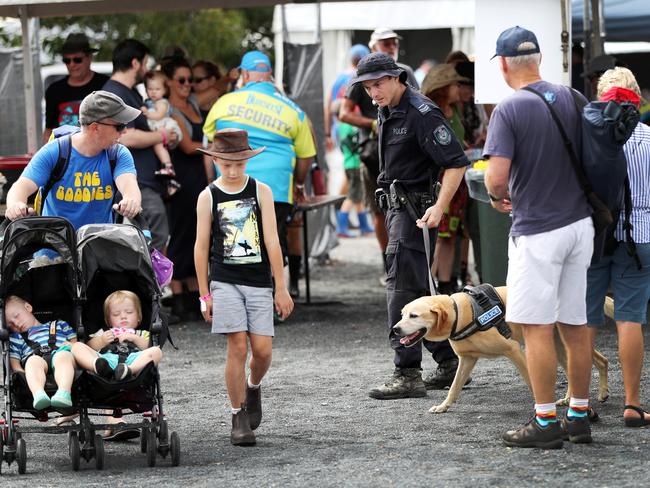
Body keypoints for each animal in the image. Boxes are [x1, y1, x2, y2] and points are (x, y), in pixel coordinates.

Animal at [390, 286, 608, 416]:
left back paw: (601, 394)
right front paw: (444, 406)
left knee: (601, 360)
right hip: (558, 344)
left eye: (414, 315)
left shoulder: (514, 349)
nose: (395, 329)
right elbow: (454, 387)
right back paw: (569, 399)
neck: (459, 314)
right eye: (402, 314)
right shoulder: (467, 359)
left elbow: (531, 382)